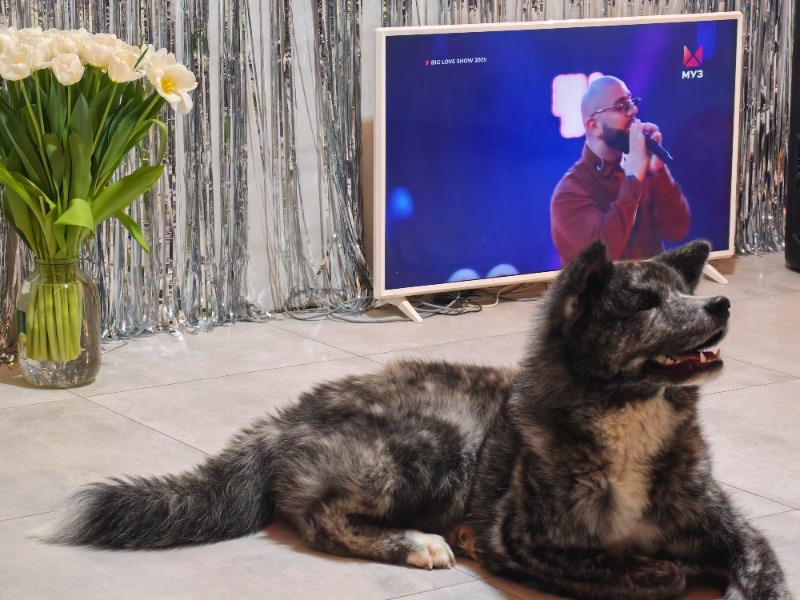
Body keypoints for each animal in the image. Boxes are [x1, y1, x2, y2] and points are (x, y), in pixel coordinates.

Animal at [40, 241, 791, 600]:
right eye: (643, 302)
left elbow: (764, 569)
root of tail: (283, 420)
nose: (721, 307)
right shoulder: (522, 544)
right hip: (436, 445)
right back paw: (417, 542)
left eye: (684, 292)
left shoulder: (736, 528)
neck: (629, 417)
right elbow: (647, 573)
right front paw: (665, 570)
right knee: (324, 520)